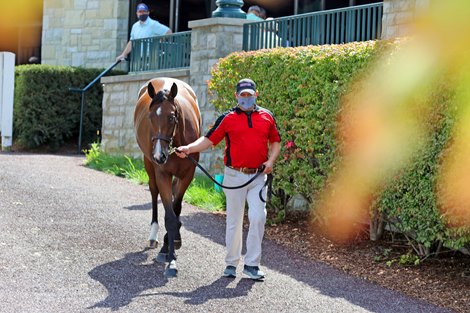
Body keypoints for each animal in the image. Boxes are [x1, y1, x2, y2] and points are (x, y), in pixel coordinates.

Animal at [136, 77, 202, 276]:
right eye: (150, 117)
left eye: (172, 117)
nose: (159, 156)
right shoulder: (162, 174)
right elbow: (170, 217)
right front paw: (170, 257)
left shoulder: (188, 174)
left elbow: (176, 208)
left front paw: (173, 243)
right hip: (149, 164)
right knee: (153, 191)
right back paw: (153, 235)